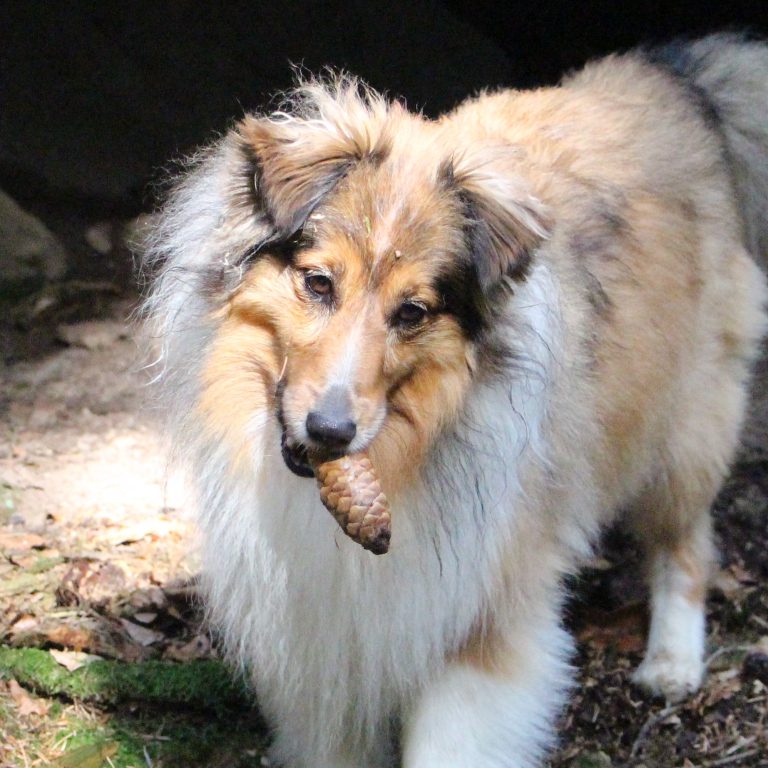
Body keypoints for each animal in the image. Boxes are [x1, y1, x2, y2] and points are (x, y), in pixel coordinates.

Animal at [142, 34, 768, 768]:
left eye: (412, 312)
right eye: (319, 283)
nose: (330, 432)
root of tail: (673, 76)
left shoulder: (480, 613)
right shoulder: (324, 635)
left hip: (685, 427)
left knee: (685, 544)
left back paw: (671, 664)